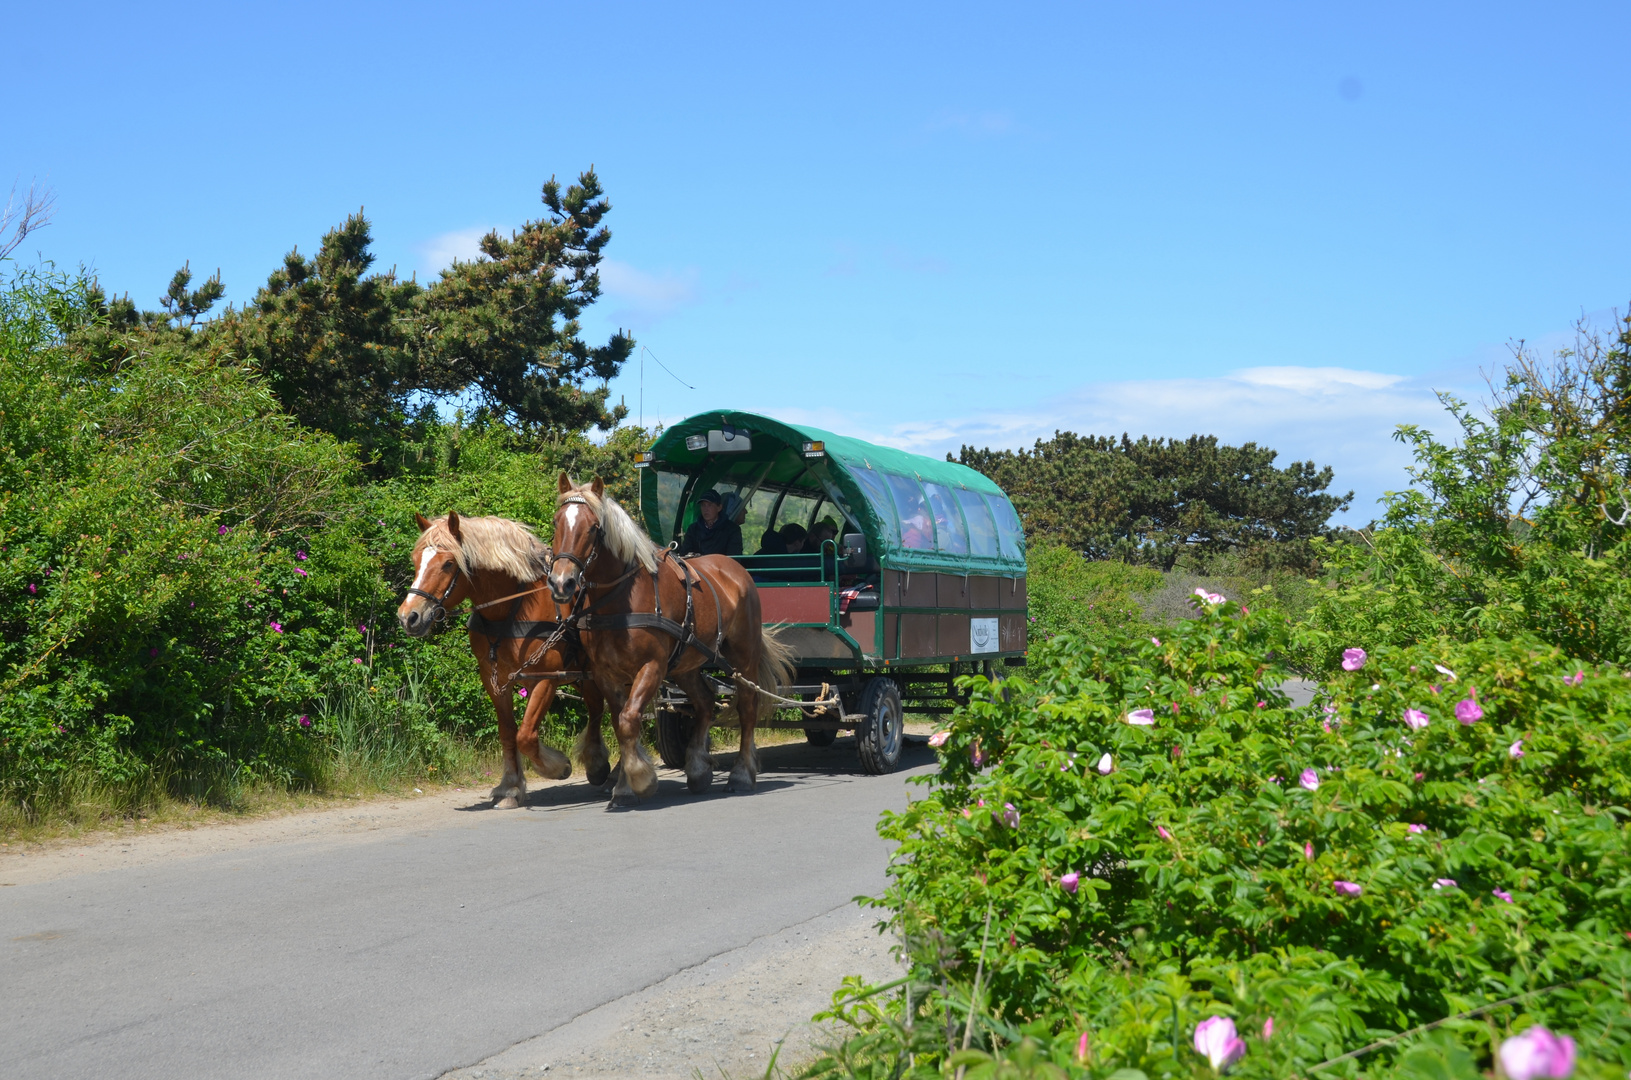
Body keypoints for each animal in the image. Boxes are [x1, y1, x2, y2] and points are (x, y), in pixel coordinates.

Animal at [394, 515, 613, 812]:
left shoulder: (546, 677)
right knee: (597, 706)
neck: (514, 608)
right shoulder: (495, 679)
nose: (409, 616)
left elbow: (526, 735)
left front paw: (557, 767)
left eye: (448, 563)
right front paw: (510, 787)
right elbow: (509, 733)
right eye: (416, 559)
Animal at [548, 473, 795, 802]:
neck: (621, 599)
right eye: (556, 523)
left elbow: (628, 720)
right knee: (704, 702)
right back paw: (699, 770)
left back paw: (742, 774)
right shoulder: (605, 673)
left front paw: (639, 780)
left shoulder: (652, 667)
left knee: (747, 707)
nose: (561, 583)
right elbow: (619, 722)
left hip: (743, 656)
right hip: (687, 664)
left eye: (594, 527)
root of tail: (736, 569)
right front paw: (624, 785)